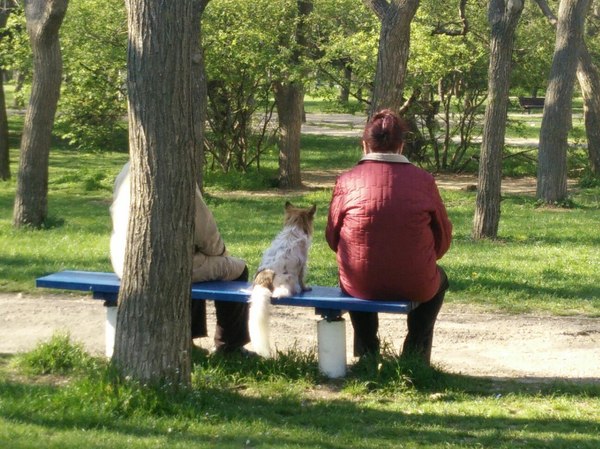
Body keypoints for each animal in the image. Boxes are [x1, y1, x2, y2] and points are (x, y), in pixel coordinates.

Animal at [247, 201, 316, 356]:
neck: (294, 228)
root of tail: (264, 277)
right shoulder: (303, 264)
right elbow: (302, 279)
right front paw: (306, 288)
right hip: (288, 280)